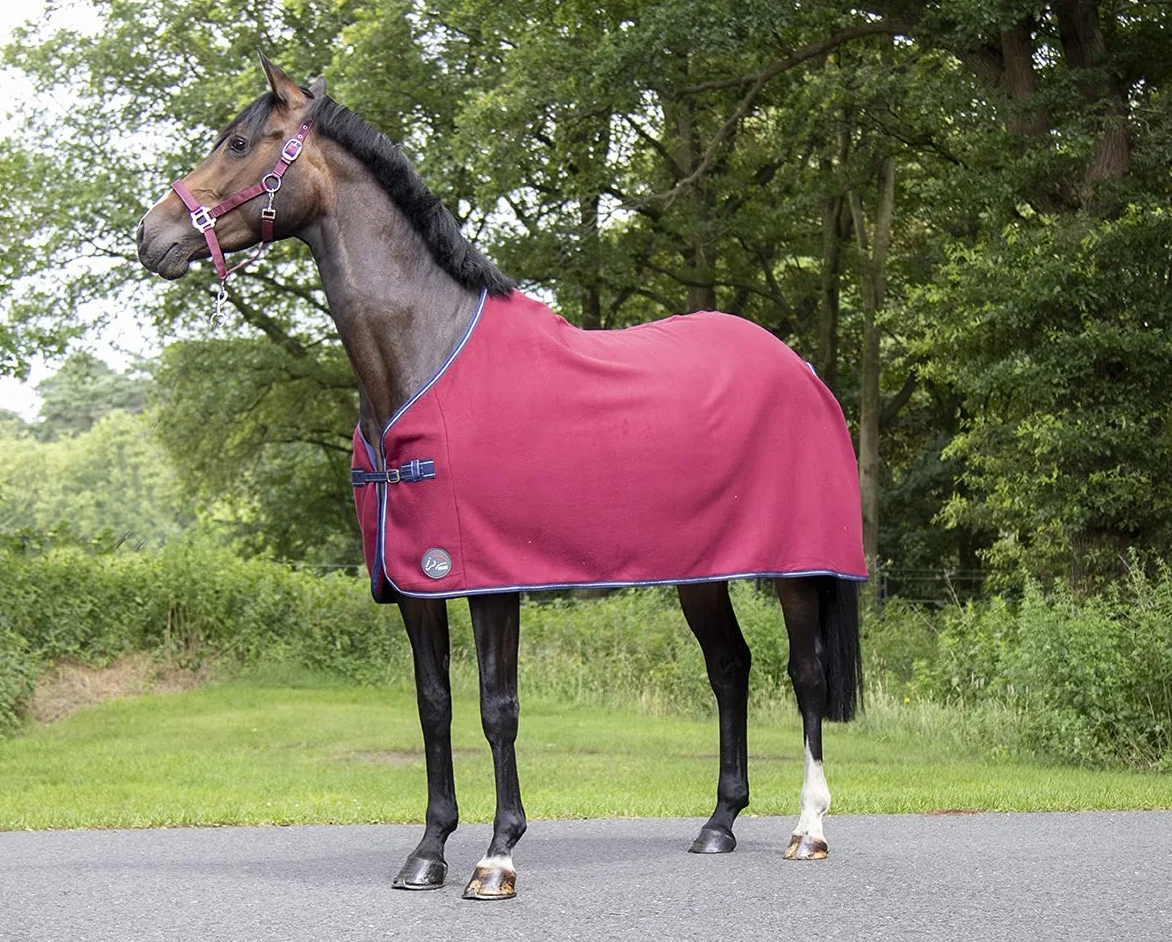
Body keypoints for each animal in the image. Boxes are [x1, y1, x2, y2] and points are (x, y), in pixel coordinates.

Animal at [136, 54, 867, 901]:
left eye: (238, 141)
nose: (151, 236)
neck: (423, 354)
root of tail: (802, 371)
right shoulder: (415, 584)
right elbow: (434, 706)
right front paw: (427, 851)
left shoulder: (491, 580)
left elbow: (497, 708)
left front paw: (497, 856)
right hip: (702, 572)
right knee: (730, 670)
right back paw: (718, 824)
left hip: (796, 569)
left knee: (805, 675)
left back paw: (808, 829)